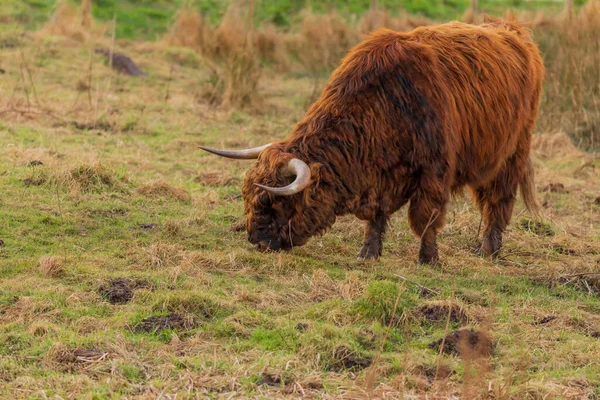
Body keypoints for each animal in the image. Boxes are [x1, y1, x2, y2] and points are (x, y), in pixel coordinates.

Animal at [202, 18, 544, 264]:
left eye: (273, 201)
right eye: (247, 197)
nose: (256, 240)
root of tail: (511, 29)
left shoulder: (434, 171)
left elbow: (426, 218)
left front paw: (429, 258)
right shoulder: (378, 176)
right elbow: (377, 216)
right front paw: (368, 252)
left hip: (513, 151)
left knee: (499, 201)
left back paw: (489, 249)